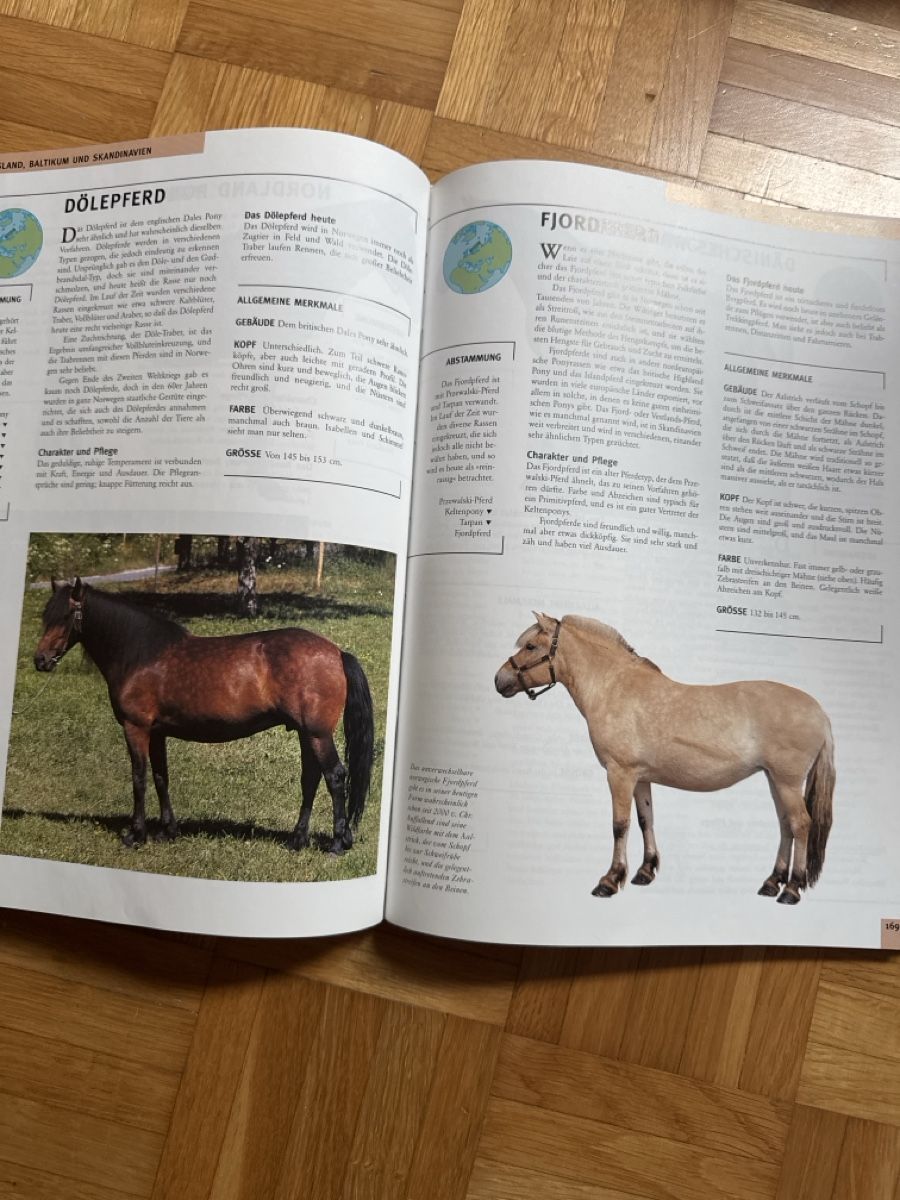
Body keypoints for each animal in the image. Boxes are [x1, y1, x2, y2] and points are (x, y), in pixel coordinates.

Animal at [33, 578, 375, 854]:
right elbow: (161, 777)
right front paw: (167, 831)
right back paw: (297, 840)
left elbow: (138, 778)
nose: (40, 660)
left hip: (317, 734)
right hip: (306, 733)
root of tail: (336, 653)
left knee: (335, 777)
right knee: (310, 779)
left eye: (66, 615)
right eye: (45, 615)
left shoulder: (136, 728)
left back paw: (337, 843)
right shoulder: (158, 733)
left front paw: (136, 834)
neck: (141, 654)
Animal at [495, 612, 834, 905]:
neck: (613, 688)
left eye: (530, 646)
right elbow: (646, 819)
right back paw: (772, 882)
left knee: (801, 824)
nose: (499, 680)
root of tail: (819, 711)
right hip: (774, 779)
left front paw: (609, 880)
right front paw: (645, 872)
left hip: (787, 781)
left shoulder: (619, 773)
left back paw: (791, 889)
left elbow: (620, 825)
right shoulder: (640, 777)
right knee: (786, 824)